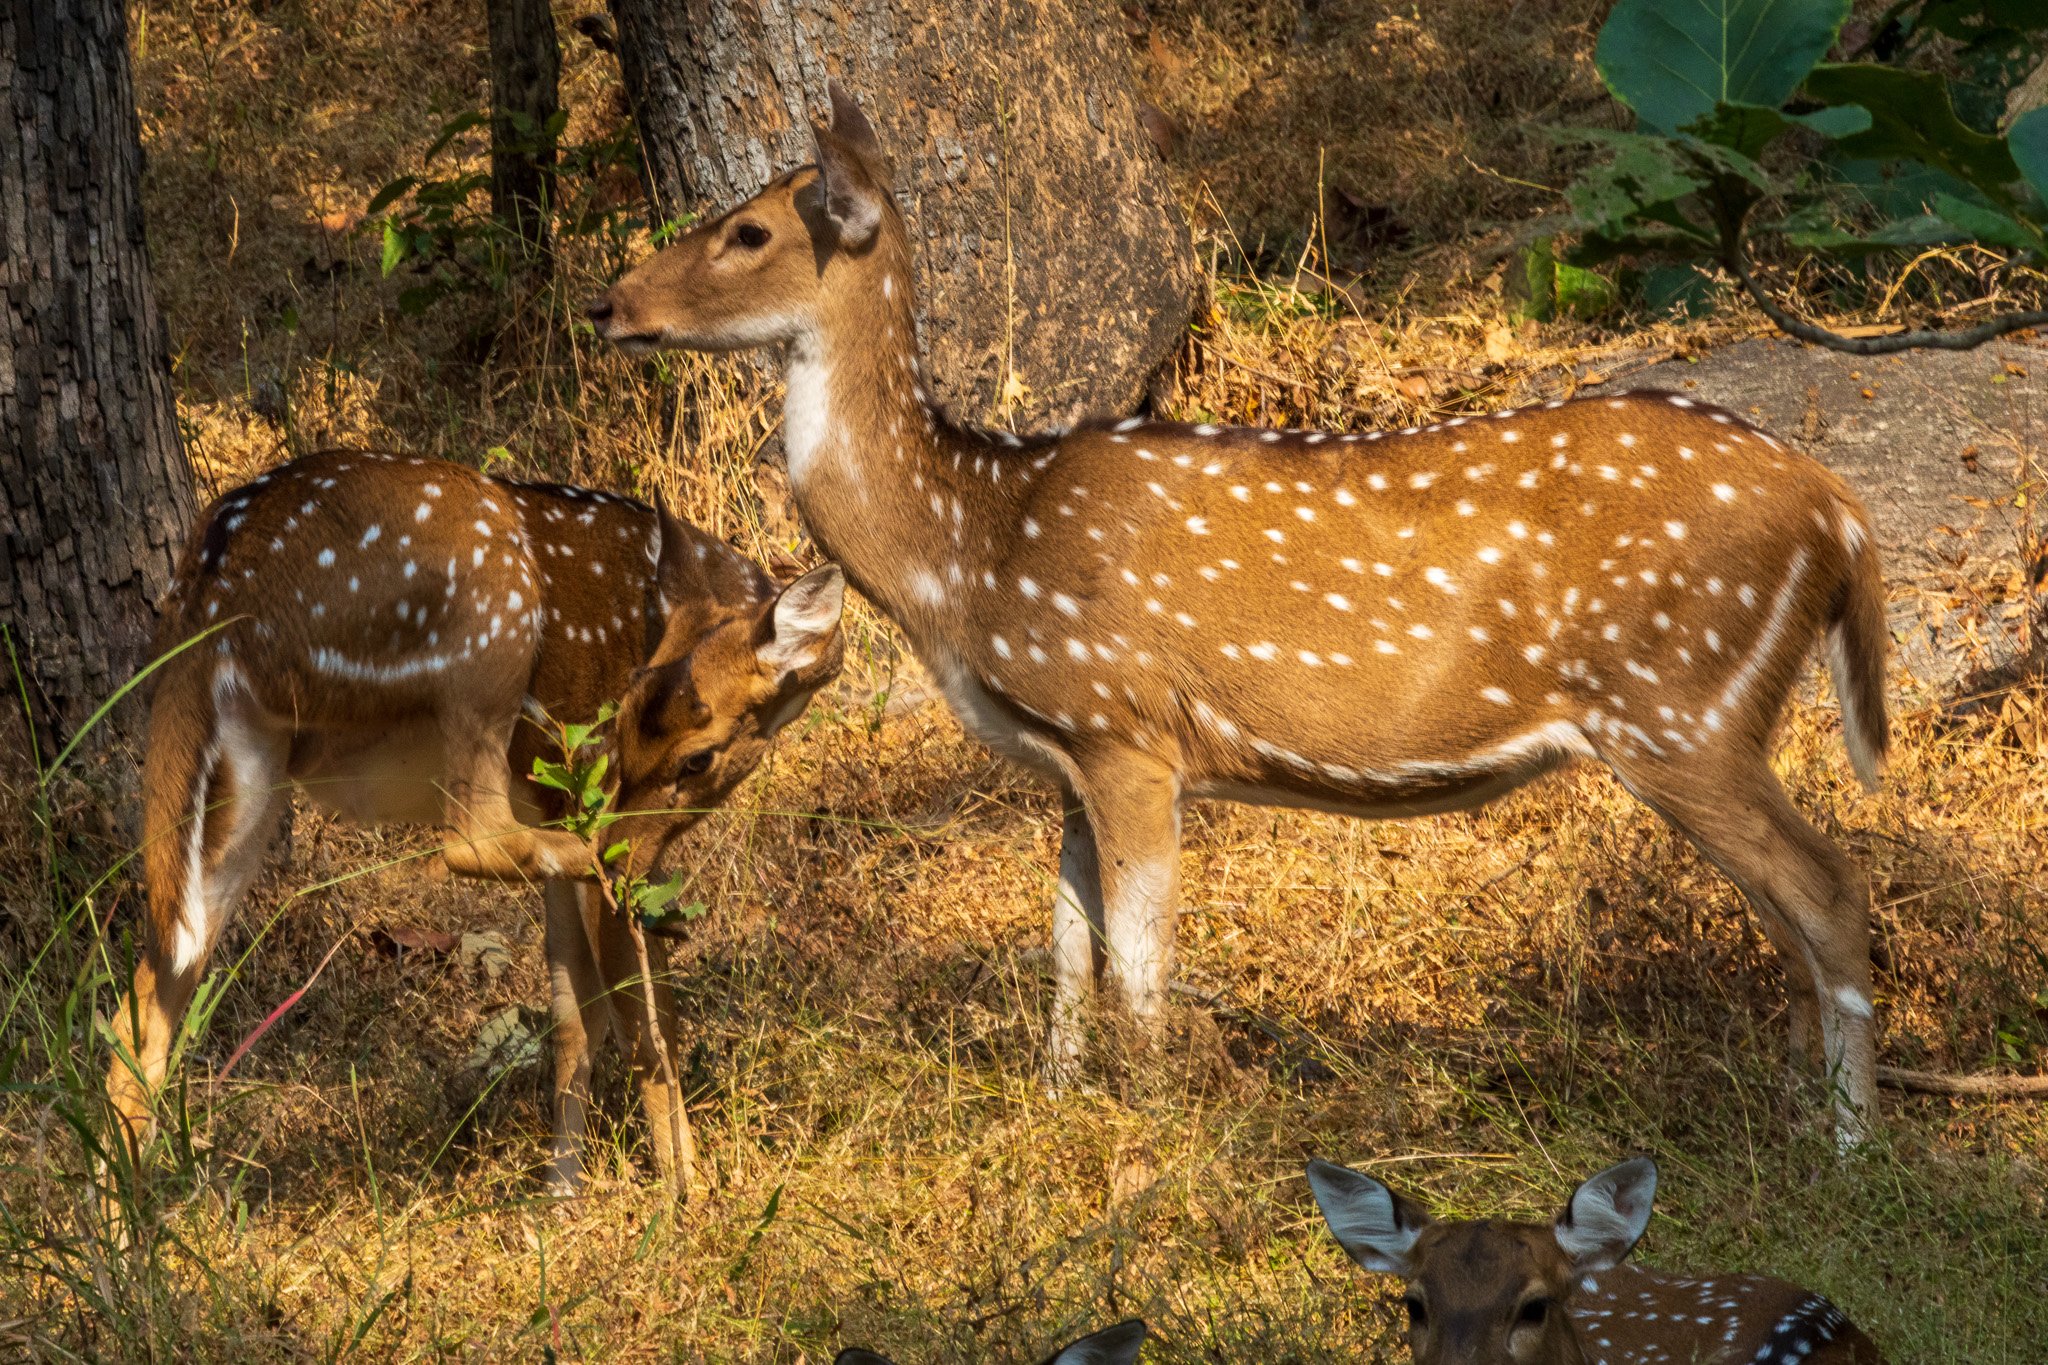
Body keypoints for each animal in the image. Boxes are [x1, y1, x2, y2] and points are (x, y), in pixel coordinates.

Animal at [110, 450, 847, 1195]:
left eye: (697, 758)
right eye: (621, 723)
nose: (619, 845)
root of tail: (215, 591)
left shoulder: (555, 799)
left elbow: (574, 1011)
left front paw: (561, 1193)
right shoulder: (579, 784)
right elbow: (643, 1017)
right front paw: (683, 1195)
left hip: (250, 765)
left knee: (146, 995)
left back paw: (127, 1219)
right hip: (488, 613)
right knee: (472, 837)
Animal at [585, 82, 1892, 1129]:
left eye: (748, 230)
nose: (607, 306)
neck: (967, 549)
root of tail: (1837, 511)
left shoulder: (1125, 728)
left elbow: (1137, 969)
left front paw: (1158, 1133)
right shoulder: (1065, 758)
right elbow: (1065, 953)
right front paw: (1058, 1112)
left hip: (1678, 703)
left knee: (1828, 891)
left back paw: (1848, 1146)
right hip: (1702, 718)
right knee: (1786, 914)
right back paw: (1789, 1122)